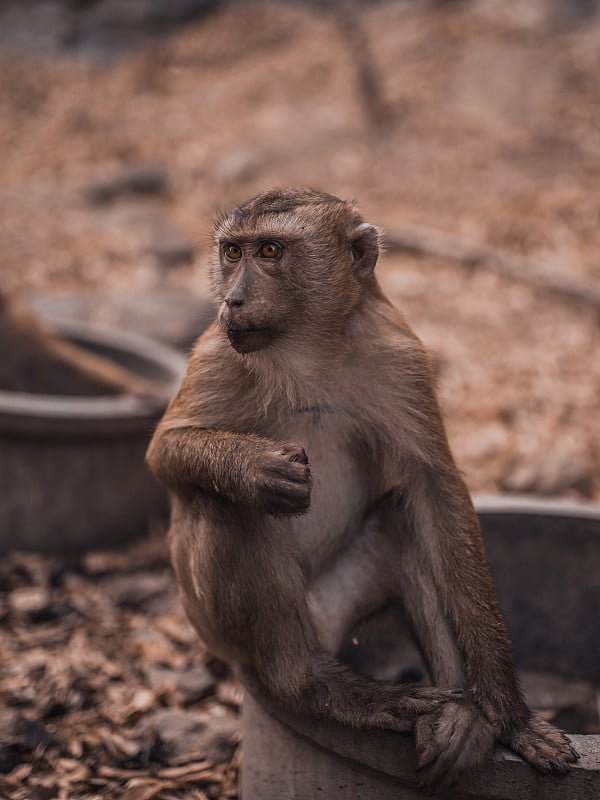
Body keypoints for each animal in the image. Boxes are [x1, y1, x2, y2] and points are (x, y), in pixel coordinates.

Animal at [145, 188, 576, 788]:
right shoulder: (216, 351)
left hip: (337, 604)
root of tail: (318, 638)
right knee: (224, 506)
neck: (307, 348)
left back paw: (460, 718)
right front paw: (256, 468)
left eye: (270, 251)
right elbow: (165, 450)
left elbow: (433, 488)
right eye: (232, 252)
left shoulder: (401, 356)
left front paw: (505, 712)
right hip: (226, 632)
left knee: (403, 519)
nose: (232, 299)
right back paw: (312, 687)